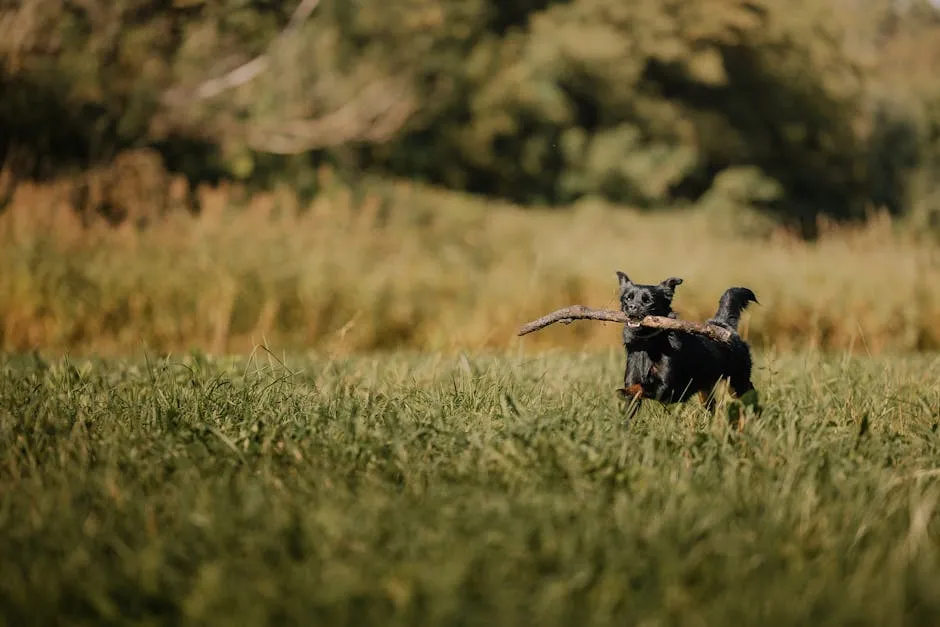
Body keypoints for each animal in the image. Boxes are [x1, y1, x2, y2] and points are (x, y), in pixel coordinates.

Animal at [612, 272, 760, 420]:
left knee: (748, 391)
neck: (647, 345)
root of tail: (723, 325)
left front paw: (622, 391)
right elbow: (633, 398)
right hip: (706, 388)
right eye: (628, 298)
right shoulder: (633, 382)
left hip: (736, 382)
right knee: (712, 404)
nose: (631, 307)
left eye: (648, 300)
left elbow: (640, 387)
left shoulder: (666, 388)